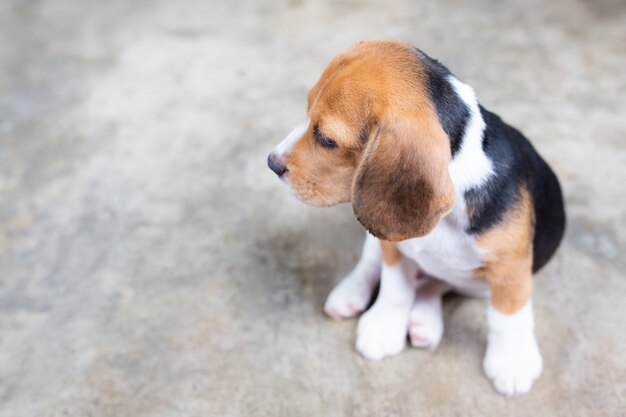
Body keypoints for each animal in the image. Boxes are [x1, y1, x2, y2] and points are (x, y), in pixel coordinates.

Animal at [266, 40, 564, 394]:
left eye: (327, 139)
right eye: (307, 107)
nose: (271, 163)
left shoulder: (511, 268)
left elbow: (508, 316)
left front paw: (512, 362)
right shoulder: (393, 245)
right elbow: (395, 288)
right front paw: (383, 328)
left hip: (476, 283)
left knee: (438, 283)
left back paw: (423, 319)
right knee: (374, 265)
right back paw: (351, 294)